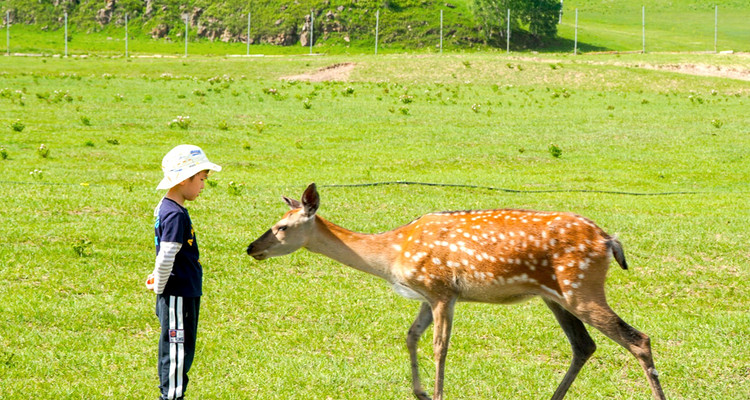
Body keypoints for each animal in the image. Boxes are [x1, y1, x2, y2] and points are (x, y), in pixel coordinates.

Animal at [247, 184, 668, 400]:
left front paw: (435, 394)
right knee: (584, 345)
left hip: (581, 286)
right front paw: (417, 392)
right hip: (557, 296)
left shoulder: (441, 290)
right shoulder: (425, 295)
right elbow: (410, 336)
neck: (392, 255)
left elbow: (439, 346)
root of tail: (609, 241)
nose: (252, 248)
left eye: (282, 227)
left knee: (638, 338)